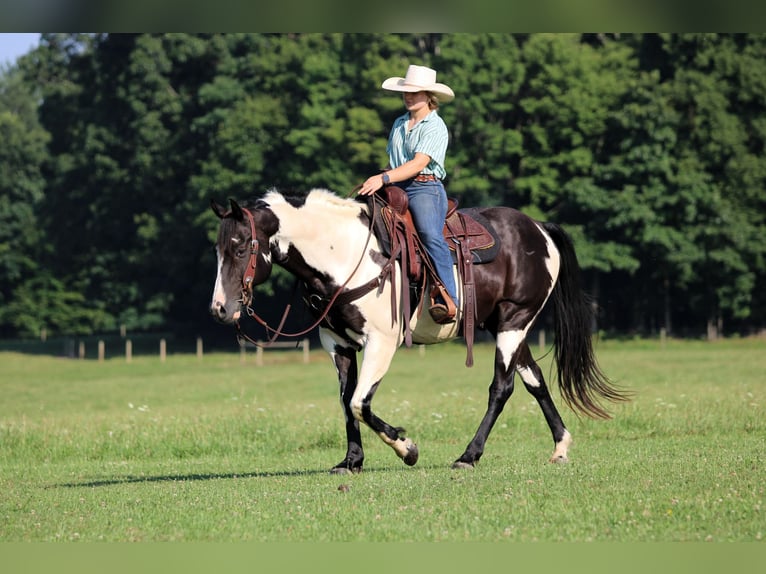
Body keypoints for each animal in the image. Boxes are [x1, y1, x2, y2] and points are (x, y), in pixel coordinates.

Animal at [209, 188, 627, 474]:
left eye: (241, 247)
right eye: (218, 249)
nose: (220, 309)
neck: (344, 254)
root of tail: (539, 229)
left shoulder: (381, 342)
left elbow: (360, 402)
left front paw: (407, 448)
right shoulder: (337, 343)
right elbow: (346, 402)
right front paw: (351, 461)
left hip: (515, 320)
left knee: (502, 387)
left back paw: (468, 455)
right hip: (506, 326)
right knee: (534, 380)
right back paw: (560, 446)